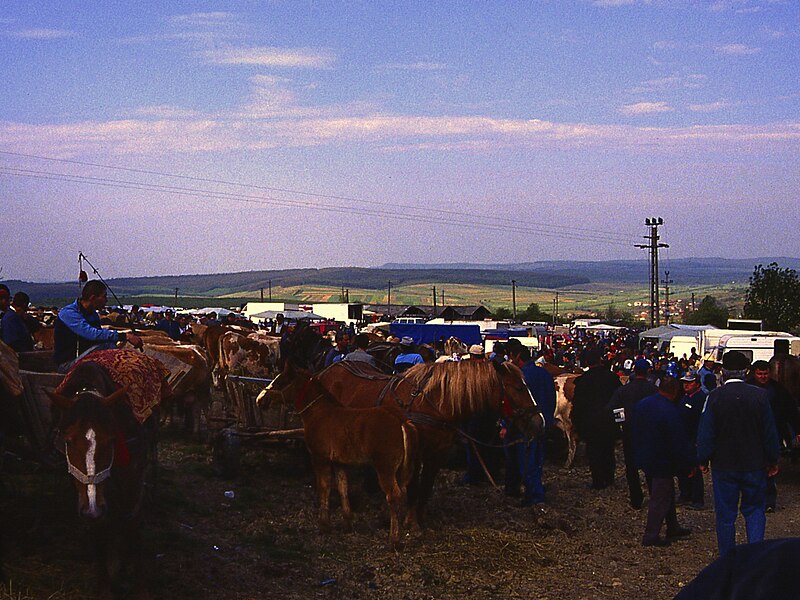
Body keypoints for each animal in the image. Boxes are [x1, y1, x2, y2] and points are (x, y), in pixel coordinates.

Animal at [46, 354, 164, 596]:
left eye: (111, 440)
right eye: (68, 441)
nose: (93, 508)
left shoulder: (132, 485)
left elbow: (132, 528)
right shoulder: (87, 499)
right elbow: (99, 534)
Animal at [262, 356, 544, 528]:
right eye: (518, 388)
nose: (539, 422)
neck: (434, 402)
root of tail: (326, 370)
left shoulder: (436, 454)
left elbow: (426, 488)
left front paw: (420, 519)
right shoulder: (416, 453)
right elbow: (414, 487)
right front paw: (411, 522)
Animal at [276, 366, 418, 548]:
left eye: (281, 382)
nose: (260, 400)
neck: (320, 413)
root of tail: (401, 421)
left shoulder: (320, 458)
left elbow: (324, 487)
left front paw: (324, 525)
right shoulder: (339, 462)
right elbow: (342, 487)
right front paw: (347, 524)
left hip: (385, 469)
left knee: (394, 495)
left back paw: (394, 539)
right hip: (401, 471)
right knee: (403, 493)